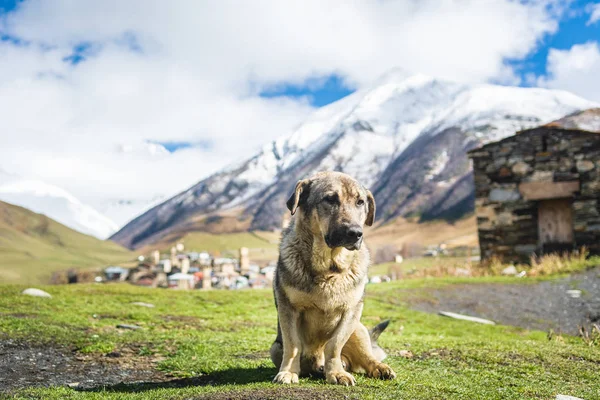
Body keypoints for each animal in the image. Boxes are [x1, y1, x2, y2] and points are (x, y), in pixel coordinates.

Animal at [270, 170, 396, 386]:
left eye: (360, 202)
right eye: (330, 199)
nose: (355, 233)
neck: (329, 269)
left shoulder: (351, 311)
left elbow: (334, 344)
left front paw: (336, 372)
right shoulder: (288, 308)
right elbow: (293, 344)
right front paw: (288, 372)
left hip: (359, 330)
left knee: (367, 357)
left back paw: (377, 368)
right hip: (275, 348)